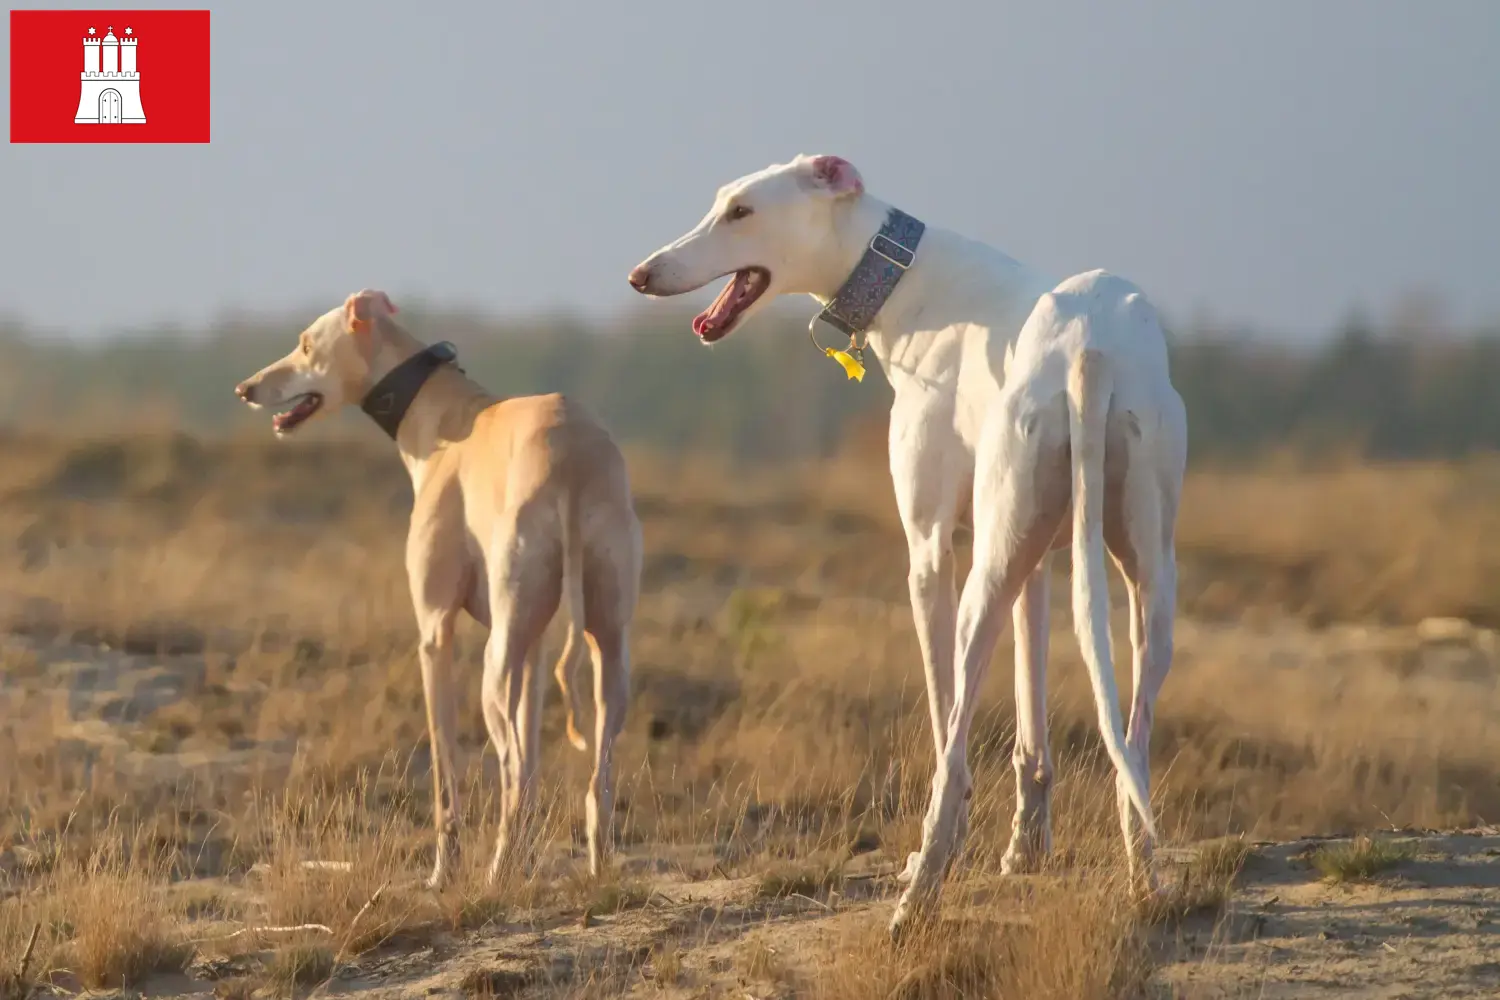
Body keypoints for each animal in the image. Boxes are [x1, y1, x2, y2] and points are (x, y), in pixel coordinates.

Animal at [232, 290, 639, 893]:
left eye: (305, 344)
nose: (246, 389)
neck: (443, 416)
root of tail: (569, 459)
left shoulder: (434, 632)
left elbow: (448, 772)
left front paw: (443, 872)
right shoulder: (533, 646)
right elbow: (534, 761)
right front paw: (522, 864)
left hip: (494, 670)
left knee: (509, 766)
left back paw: (494, 873)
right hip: (605, 646)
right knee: (592, 774)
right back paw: (592, 867)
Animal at [627, 152, 1188, 935]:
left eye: (741, 211)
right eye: (722, 203)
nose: (641, 275)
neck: (910, 278)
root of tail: (1091, 348)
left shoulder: (929, 550)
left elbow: (945, 712)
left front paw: (962, 846)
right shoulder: (1039, 557)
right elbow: (1033, 722)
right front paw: (1026, 849)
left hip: (983, 582)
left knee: (952, 744)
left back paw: (919, 888)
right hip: (1141, 571)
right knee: (1132, 738)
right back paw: (1145, 877)